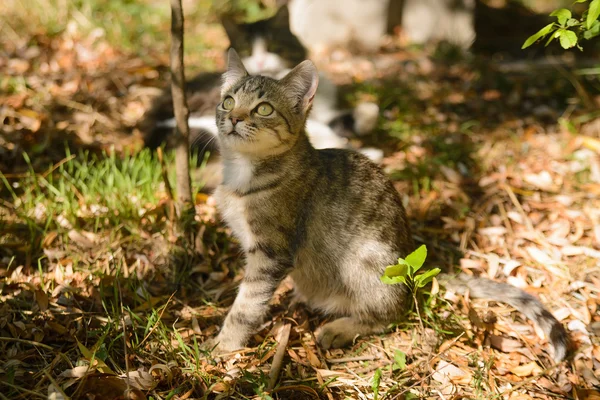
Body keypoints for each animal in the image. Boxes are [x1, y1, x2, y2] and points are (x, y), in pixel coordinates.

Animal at [205, 48, 568, 360]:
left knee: (394, 312)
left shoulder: (271, 252)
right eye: (228, 101)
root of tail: (412, 266)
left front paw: (224, 345)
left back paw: (339, 328)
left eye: (264, 108)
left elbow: (247, 305)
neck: (243, 174)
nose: (234, 118)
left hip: (364, 259)